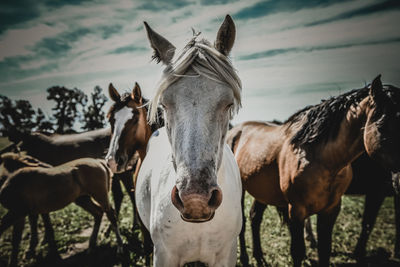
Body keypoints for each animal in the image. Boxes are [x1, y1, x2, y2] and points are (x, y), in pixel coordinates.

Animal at [227, 76, 400, 267]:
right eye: (382, 127)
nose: (399, 182)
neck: (322, 160)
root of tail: (234, 132)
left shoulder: (330, 211)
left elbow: (325, 251)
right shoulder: (296, 211)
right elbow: (297, 252)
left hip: (263, 191)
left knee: (255, 217)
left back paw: (259, 258)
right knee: (241, 223)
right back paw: (245, 258)